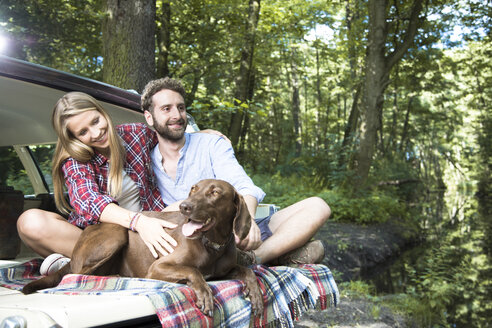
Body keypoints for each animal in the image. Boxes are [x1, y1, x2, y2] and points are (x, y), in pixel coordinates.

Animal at [22, 181, 264, 316]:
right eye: (193, 189)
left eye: (215, 192)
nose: (185, 206)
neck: (212, 246)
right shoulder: (158, 268)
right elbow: (193, 271)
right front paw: (204, 293)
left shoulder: (224, 270)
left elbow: (247, 271)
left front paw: (256, 294)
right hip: (116, 233)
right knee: (75, 274)